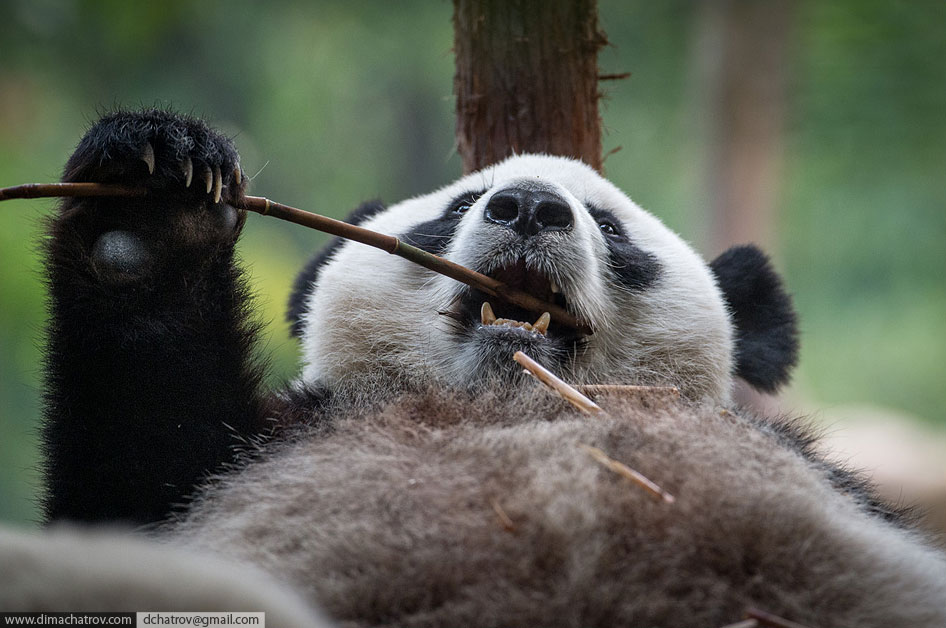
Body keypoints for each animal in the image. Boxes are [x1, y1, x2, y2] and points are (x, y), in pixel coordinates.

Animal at [5, 110, 944, 624]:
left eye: (609, 227)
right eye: (458, 205)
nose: (528, 206)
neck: (510, 406)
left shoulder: (814, 474)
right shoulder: (265, 447)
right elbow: (132, 469)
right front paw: (152, 203)